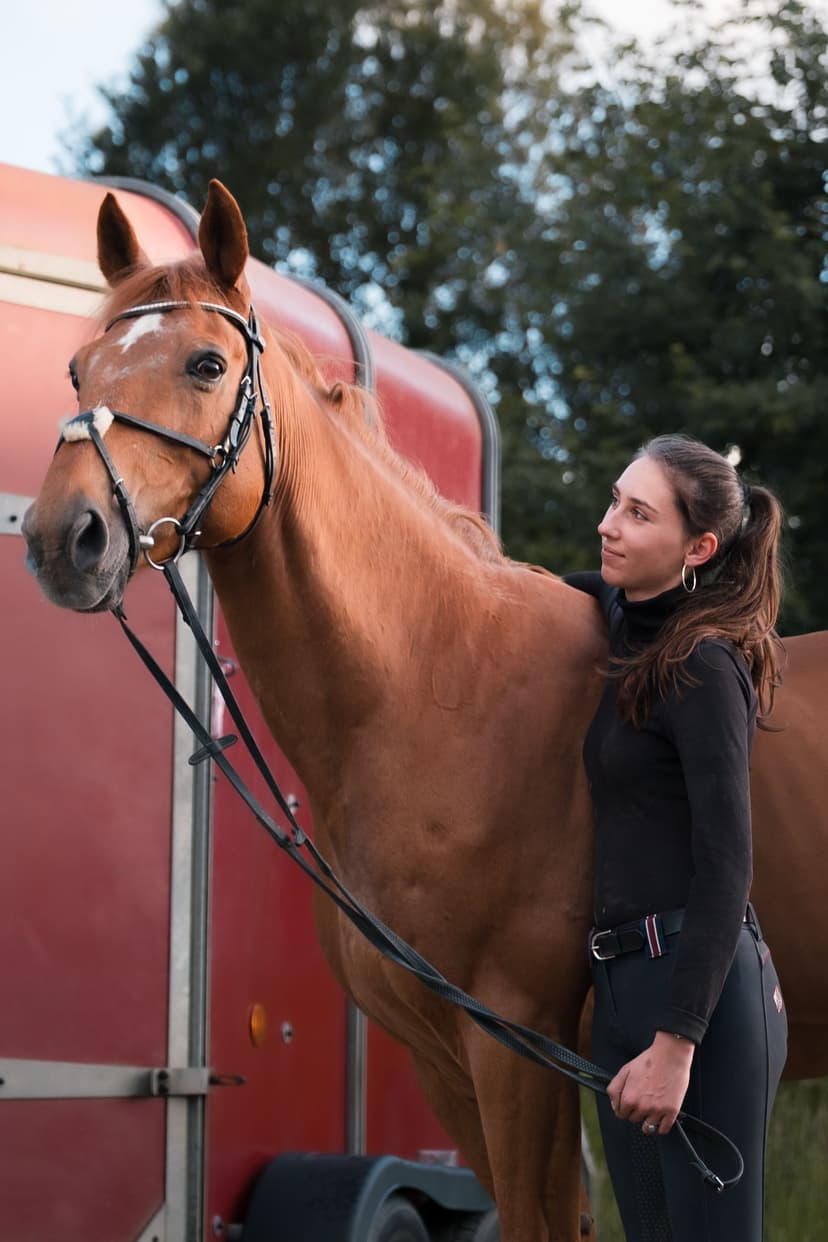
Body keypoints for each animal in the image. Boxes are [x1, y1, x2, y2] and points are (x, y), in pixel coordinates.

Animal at [21, 181, 828, 1241]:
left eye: (206, 364)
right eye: (80, 367)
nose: (61, 538)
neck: (437, 690)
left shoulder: (517, 1053)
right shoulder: (449, 1064)